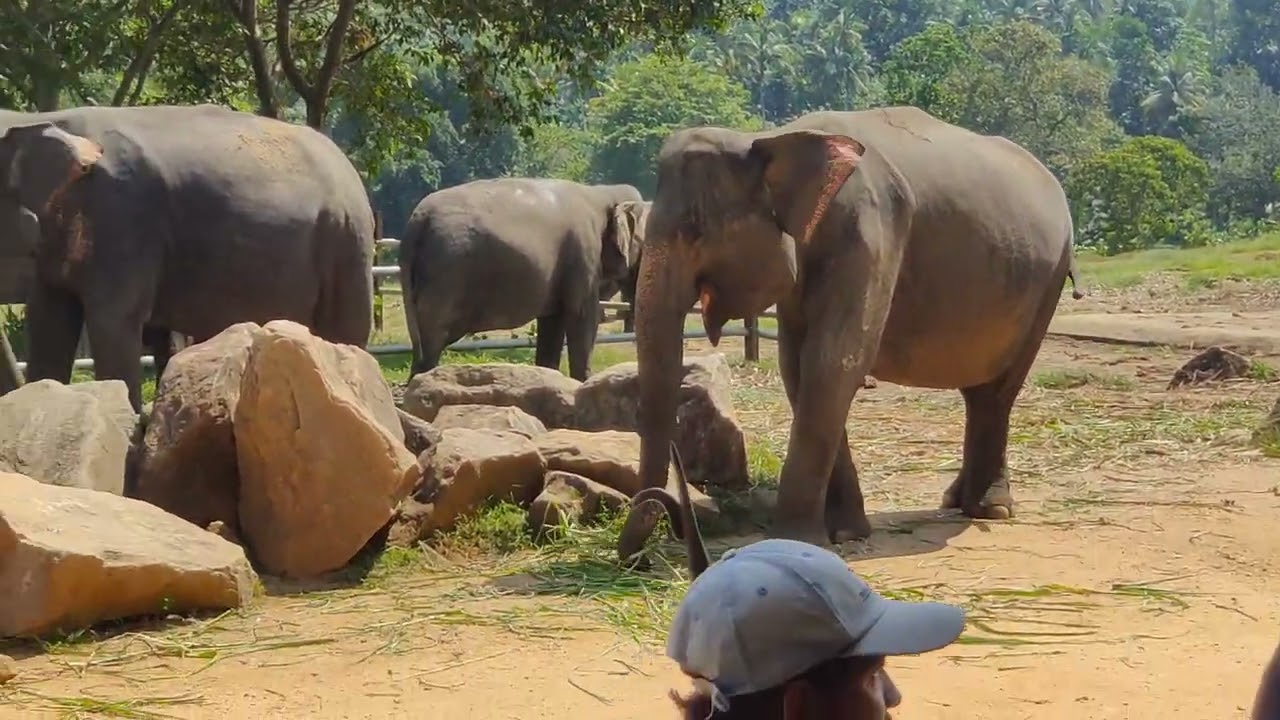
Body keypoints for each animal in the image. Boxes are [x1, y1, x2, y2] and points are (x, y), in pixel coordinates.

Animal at [0, 104, 378, 412]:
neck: (33, 119)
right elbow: (48, 323)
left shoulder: (122, 219)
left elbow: (113, 321)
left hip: (347, 240)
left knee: (344, 333)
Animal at [399, 178, 649, 381]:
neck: (603, 192)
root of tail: (416, 220)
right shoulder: (583, 255)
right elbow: (582, 316)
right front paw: (581, 382)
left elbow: (552, 323)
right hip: (446, 274)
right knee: (433, 339)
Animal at [616, 106, 1085, 562]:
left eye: (695, 229)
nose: (635, 558)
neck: (774, 137)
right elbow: (797, 368)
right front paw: (845, 532)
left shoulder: (870, 231)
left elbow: (833, 361)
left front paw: (795, 541)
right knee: (981, 392)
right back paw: (956, 502)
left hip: (1049, 284)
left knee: (999, 392)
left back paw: (990, 509)